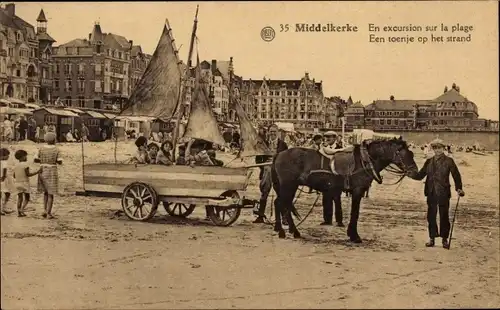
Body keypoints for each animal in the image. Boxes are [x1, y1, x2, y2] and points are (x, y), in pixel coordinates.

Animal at [270, 138, 418, 242]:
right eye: (404, 153)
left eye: (411, 153)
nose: (414, 171)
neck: (365, 160)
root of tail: (279, 154)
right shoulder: (358, 191)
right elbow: (355, 213)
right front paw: (354, 236)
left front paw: (351, 234)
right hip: (288, 185)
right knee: (281, 204)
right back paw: (287, 231)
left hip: (290, 187)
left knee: (280, 204)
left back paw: (286, 230)